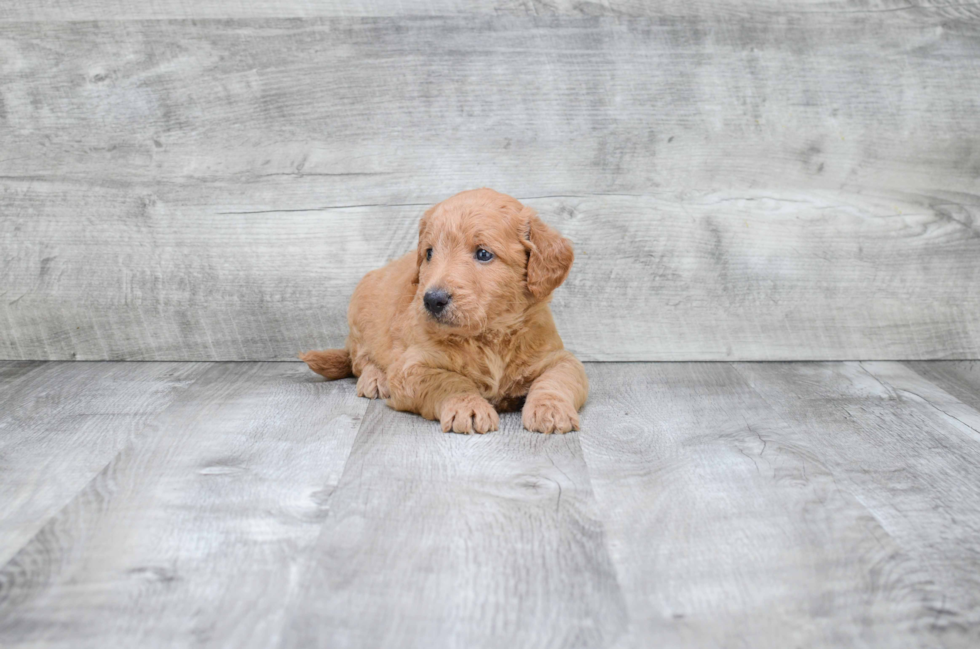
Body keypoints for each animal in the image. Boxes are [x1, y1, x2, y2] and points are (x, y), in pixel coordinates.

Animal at [302, 186, 584, 436]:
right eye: (429, 253)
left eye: (483, 254)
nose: (432, 300)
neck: (489, 337)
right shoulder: (410, 368)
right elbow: (449, 381)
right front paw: (467, 406)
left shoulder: (556, 357)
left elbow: (556, 379)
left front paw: (551, 409)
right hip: (360, 314)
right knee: (360, 360)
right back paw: (374, 379)